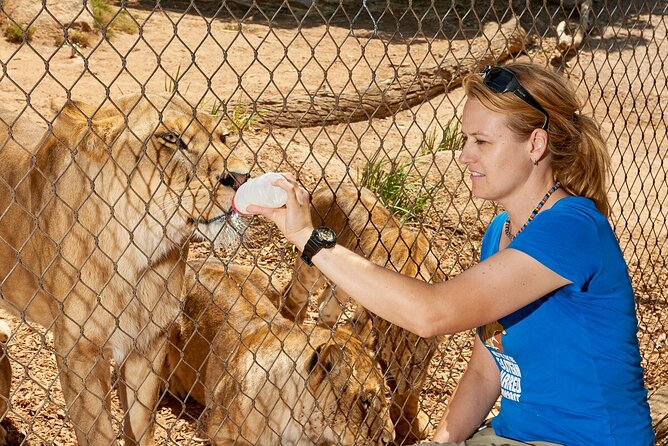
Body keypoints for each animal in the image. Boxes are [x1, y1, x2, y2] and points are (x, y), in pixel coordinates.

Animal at [0, 98, 250, 446]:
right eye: (171, 138)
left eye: (224, 138)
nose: (243, 178)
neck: (138, 256)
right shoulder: (79, 351)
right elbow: (98, 434)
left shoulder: (148, 342)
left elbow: (142, 425)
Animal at [280, 184, 444, 442]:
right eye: (388, 362)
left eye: (417, 362)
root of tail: (328, 189)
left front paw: (411, 423)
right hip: (311, 272)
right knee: (292, 297)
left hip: (342, 286)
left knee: (325, 309)